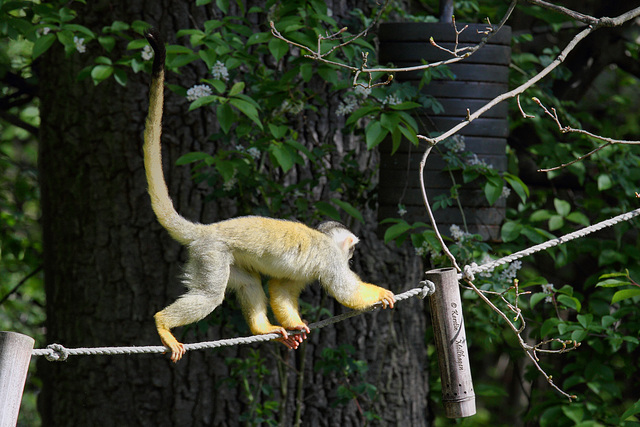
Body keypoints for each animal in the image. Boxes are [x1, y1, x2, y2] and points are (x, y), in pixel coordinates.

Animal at [145, 31, 396, 362]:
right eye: (350, 251)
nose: (352, 257)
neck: (324, 239)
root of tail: (206, 230)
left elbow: (281, 288)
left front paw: (296, 325)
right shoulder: (330, 258)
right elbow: (345, 292)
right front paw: (380, 293)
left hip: (220, 255)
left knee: (248, 281)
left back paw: (262, 328)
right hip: (211, 253)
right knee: (210, 294)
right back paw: (162, 323)